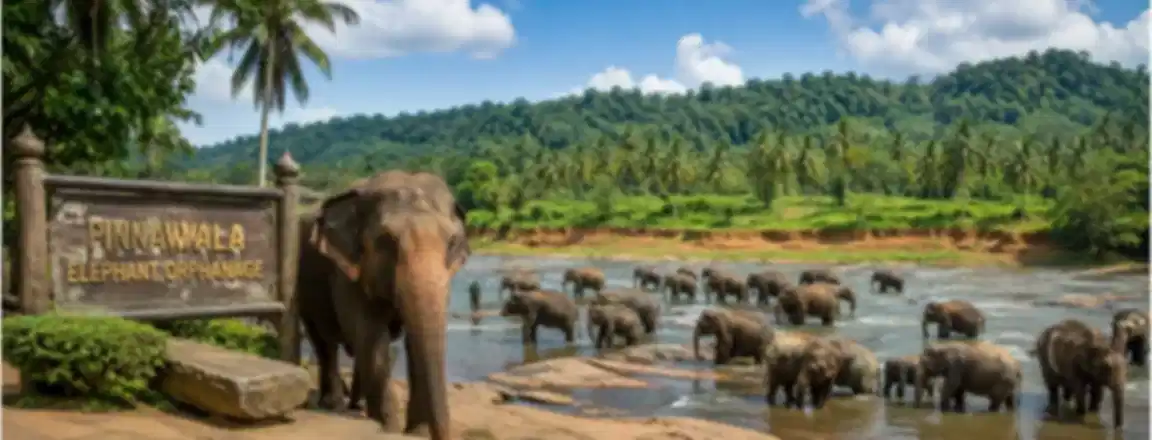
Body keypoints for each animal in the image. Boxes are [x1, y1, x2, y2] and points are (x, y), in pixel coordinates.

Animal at [304, 171, 471, 439]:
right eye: (387, 241)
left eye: (452, 242)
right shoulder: (347, 273)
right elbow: (372, 335)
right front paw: (391, 430)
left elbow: (412, 344)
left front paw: (417, 432)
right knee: (324, 342)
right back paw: (333, 404)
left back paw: (357, 407)